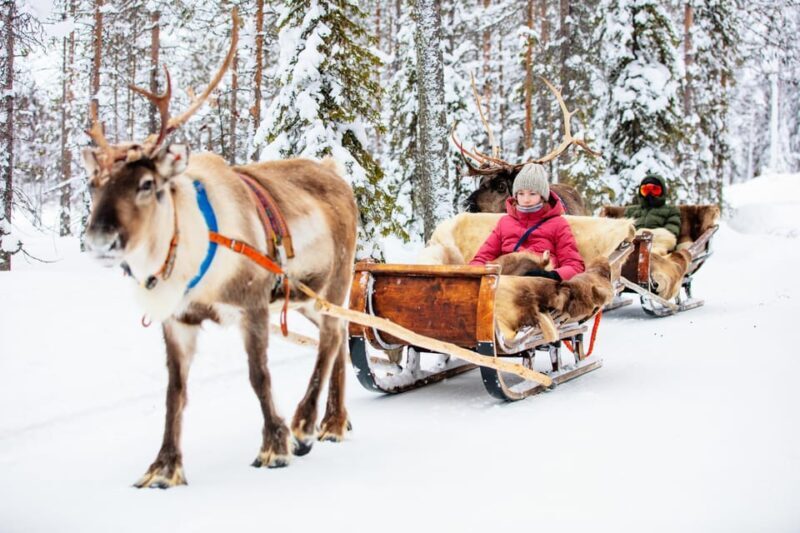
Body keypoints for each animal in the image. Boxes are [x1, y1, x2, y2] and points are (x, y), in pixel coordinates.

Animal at [81, 10, 358, 489]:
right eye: (94, 184)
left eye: (147, 184)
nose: (100, 240)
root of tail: (336, 172)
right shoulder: (178, 321)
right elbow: (174, 393)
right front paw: (163, 467)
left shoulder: (252, 305)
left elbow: (259, 376)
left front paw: (276, 445)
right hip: (307, 297)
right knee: (339, 335)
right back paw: (333, 422)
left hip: (335, 279)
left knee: (329, 338)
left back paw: (306, 424)